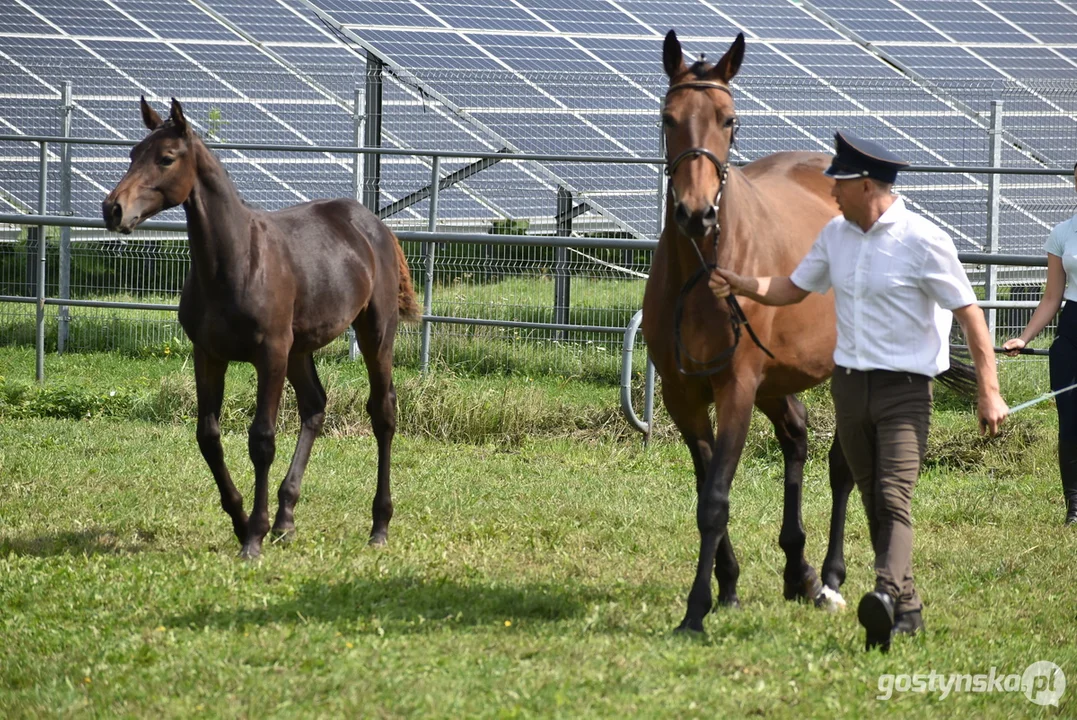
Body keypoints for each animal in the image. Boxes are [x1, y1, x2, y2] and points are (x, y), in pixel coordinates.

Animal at [101, 96, 420, 555]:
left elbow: (262, 439)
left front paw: (254, 534)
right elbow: (208, 436)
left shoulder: (269, 354)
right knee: (315, 406)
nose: (113, 209)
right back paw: (287, 518)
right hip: (299, 348)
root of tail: (375, 225)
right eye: (132, 154)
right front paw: (240, 519)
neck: (234, 262)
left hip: (374, 333)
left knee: (383, 412)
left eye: (166, 158)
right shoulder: (209, 354)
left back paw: (378, 525)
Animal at [637, 30, 857, 632]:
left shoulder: (735, 386)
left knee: (842, 466)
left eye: (729, 119)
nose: (696, 214)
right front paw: (728, 586)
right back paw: (797, 570)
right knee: (797, 438)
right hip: (777, 382)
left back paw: (829, 578)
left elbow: (715, 498)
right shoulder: (684, 394)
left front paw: (696, 610)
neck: (702, 272)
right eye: (667, 118)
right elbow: (705, 486)